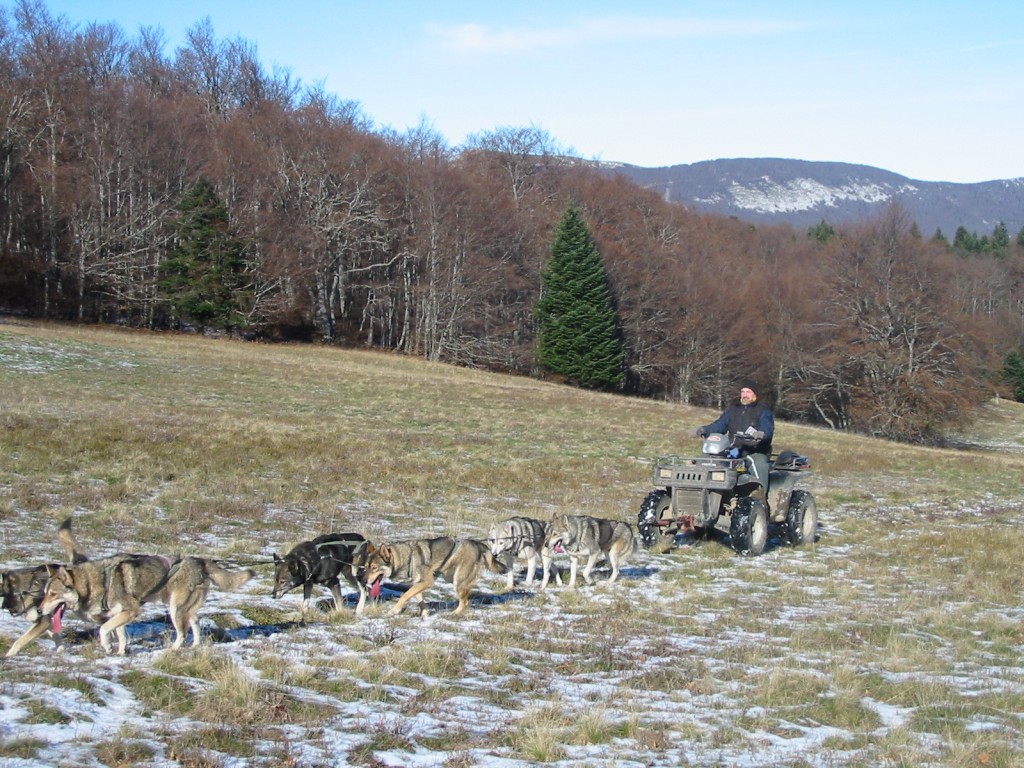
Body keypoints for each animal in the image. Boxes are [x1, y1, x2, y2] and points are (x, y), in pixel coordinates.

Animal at [2, 518, 88, 655]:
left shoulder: (43, 622)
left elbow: (19, 641)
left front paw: (9, 656)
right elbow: (55, 635)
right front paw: (60, 652)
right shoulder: (46, 620)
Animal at [362, 536, 505, 618]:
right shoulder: (417, 583)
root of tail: (480, 545)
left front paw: (394, 610)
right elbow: (418, 599)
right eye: (366, 566)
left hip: (458, 582)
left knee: (465, 602)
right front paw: (425, 614)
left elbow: (405, 596)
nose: (363, 580)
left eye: (374, 567)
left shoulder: (427, 582)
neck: (406, 559)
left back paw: (454, 614)